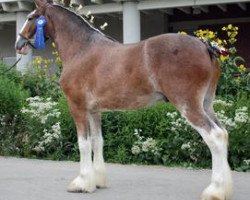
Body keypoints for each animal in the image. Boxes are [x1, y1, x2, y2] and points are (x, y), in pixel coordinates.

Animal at [14, 0, 233, 199]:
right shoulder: (94, 110)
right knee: (223, 133)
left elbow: (83, 143)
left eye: (31, 17)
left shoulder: (77, 107)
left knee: (214, 137)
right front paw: (98, 181)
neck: (82, 50)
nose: (19, 45)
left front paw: (82, 183)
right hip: (206, 105)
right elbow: (97, 141)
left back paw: (214, 191)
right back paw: (223, 189)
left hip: (189, 106)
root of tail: (205, 47)